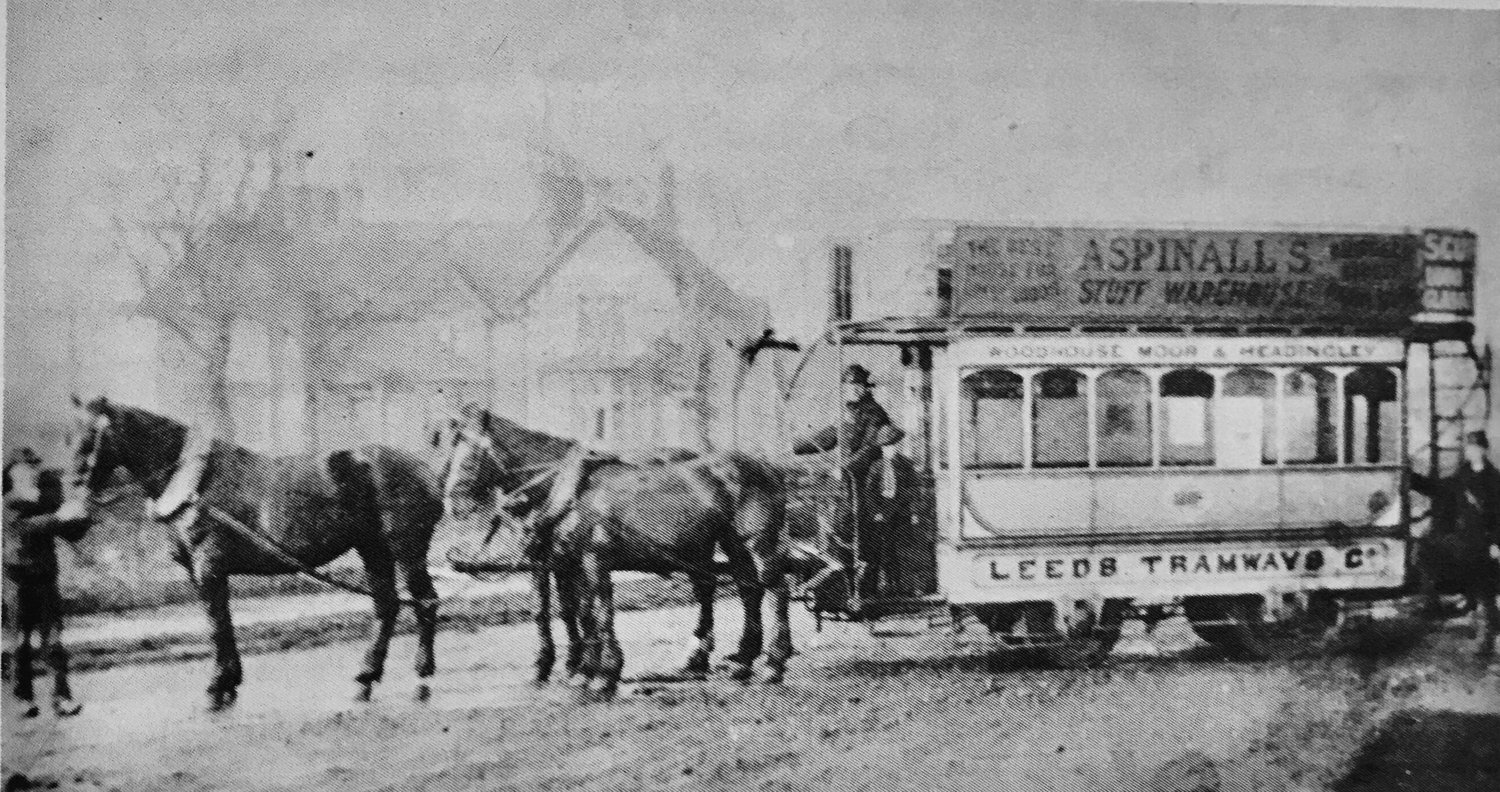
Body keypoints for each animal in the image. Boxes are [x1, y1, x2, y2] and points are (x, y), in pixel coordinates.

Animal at [4, 459, 86, 717]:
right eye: (13, 478)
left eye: (44, 478)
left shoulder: (48, 589)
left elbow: (54, 643)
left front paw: (64, 699)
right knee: (20, 642)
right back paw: (23, 697)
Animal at [60, 396, 444, 711]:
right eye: (67, 437)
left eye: (91, 438)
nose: (71, 520)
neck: (194, 483)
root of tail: (426, 469)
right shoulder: (201, 572)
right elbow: (222, 621)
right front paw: (230, 682)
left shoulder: (208, 567)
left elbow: (216, 625)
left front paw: (216, 686)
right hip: (372, 548)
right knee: (387, 605)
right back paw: (366, 677)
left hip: (406, 549)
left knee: (424, 601)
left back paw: (422, 673)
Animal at [438, 405, 798, 696]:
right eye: (450, 449)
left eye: (472, 453)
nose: (454, 504)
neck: (564, 489)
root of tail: (768, 467)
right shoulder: (559, 560)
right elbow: (574, 611)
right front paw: (580, 668)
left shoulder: (592, 560)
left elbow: (600, 611)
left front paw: (603, 672)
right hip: (725, 544)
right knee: (745, 590)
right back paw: (741, 660)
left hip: (756, 541)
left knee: (775, 588)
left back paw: (773, 662)